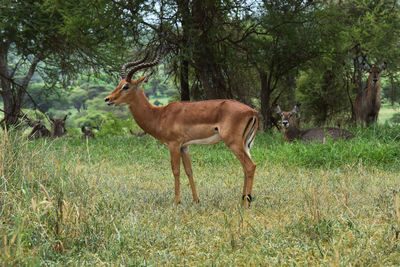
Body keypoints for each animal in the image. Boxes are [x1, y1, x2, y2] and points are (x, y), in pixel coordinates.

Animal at [104, 55, 258, 208]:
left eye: (126, 86)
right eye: (119, 83)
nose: (107, 99)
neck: (159, 115)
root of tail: (252, 111)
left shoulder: (173, 144)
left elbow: (176, 170)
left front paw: (176, 201)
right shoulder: (184, 146)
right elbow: (189, 171)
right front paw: (196, 200)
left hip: (234, 143)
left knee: (250, 166)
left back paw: (246, 204)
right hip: (245, 145)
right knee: (245, 168)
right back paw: (241, 201)